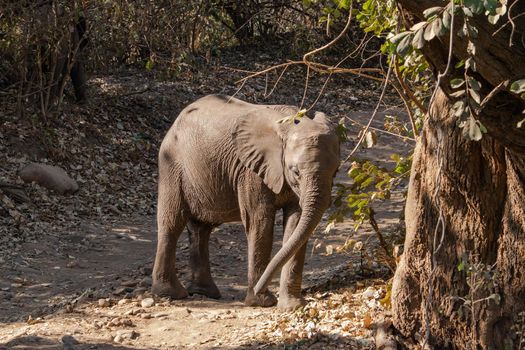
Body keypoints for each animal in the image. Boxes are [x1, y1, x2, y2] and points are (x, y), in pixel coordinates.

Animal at [151, 94, 340, 310]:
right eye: (295, 171)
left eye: (336, 171)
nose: (260, 288)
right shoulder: (250, 170)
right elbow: (260, 221)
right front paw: (262, 302)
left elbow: (296, 223)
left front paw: (292, 306)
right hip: (171, 164)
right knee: (172, 222)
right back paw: (172, 294)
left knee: (202, 228)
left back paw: (205, 293)